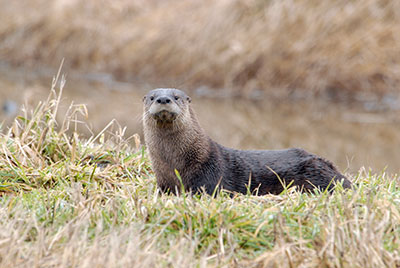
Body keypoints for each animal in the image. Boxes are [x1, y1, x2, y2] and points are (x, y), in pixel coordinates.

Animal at [142, 88, 352, 195]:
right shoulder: (163, 182)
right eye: (151, 97)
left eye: (177, 97)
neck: (174, 163)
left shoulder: (209, 178)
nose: (163, 99)